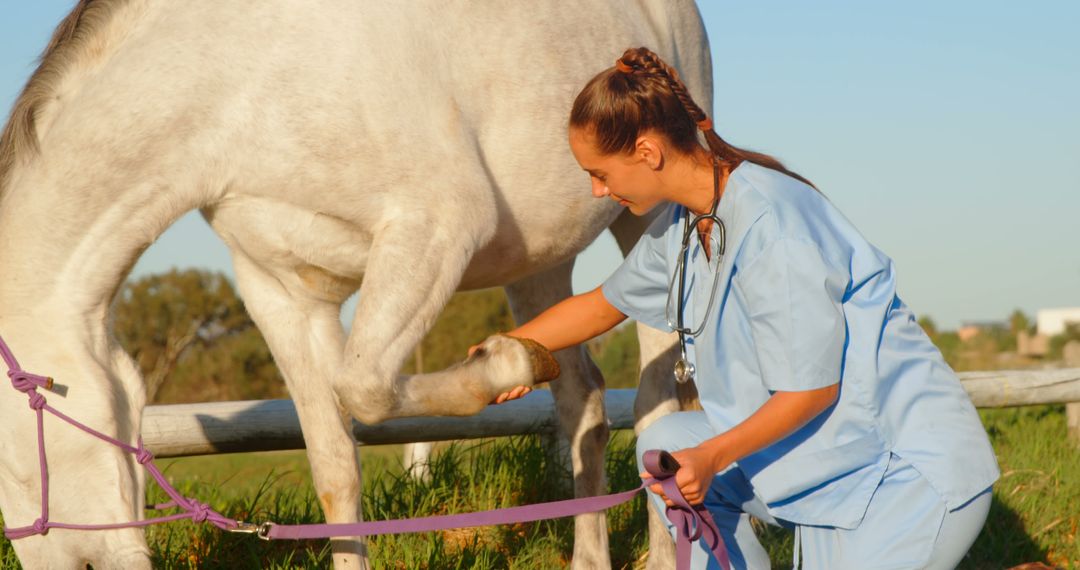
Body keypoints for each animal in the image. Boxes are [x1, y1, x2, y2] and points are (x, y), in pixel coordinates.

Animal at [0, 2, 712, 565]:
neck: (244, 84)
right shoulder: (282, 292)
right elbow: (335, 468)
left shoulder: (435, 228)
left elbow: (366, 387)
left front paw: (505, 362)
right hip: (540, 260)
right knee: (583, 400)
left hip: (647, 223)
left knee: (655, 400)